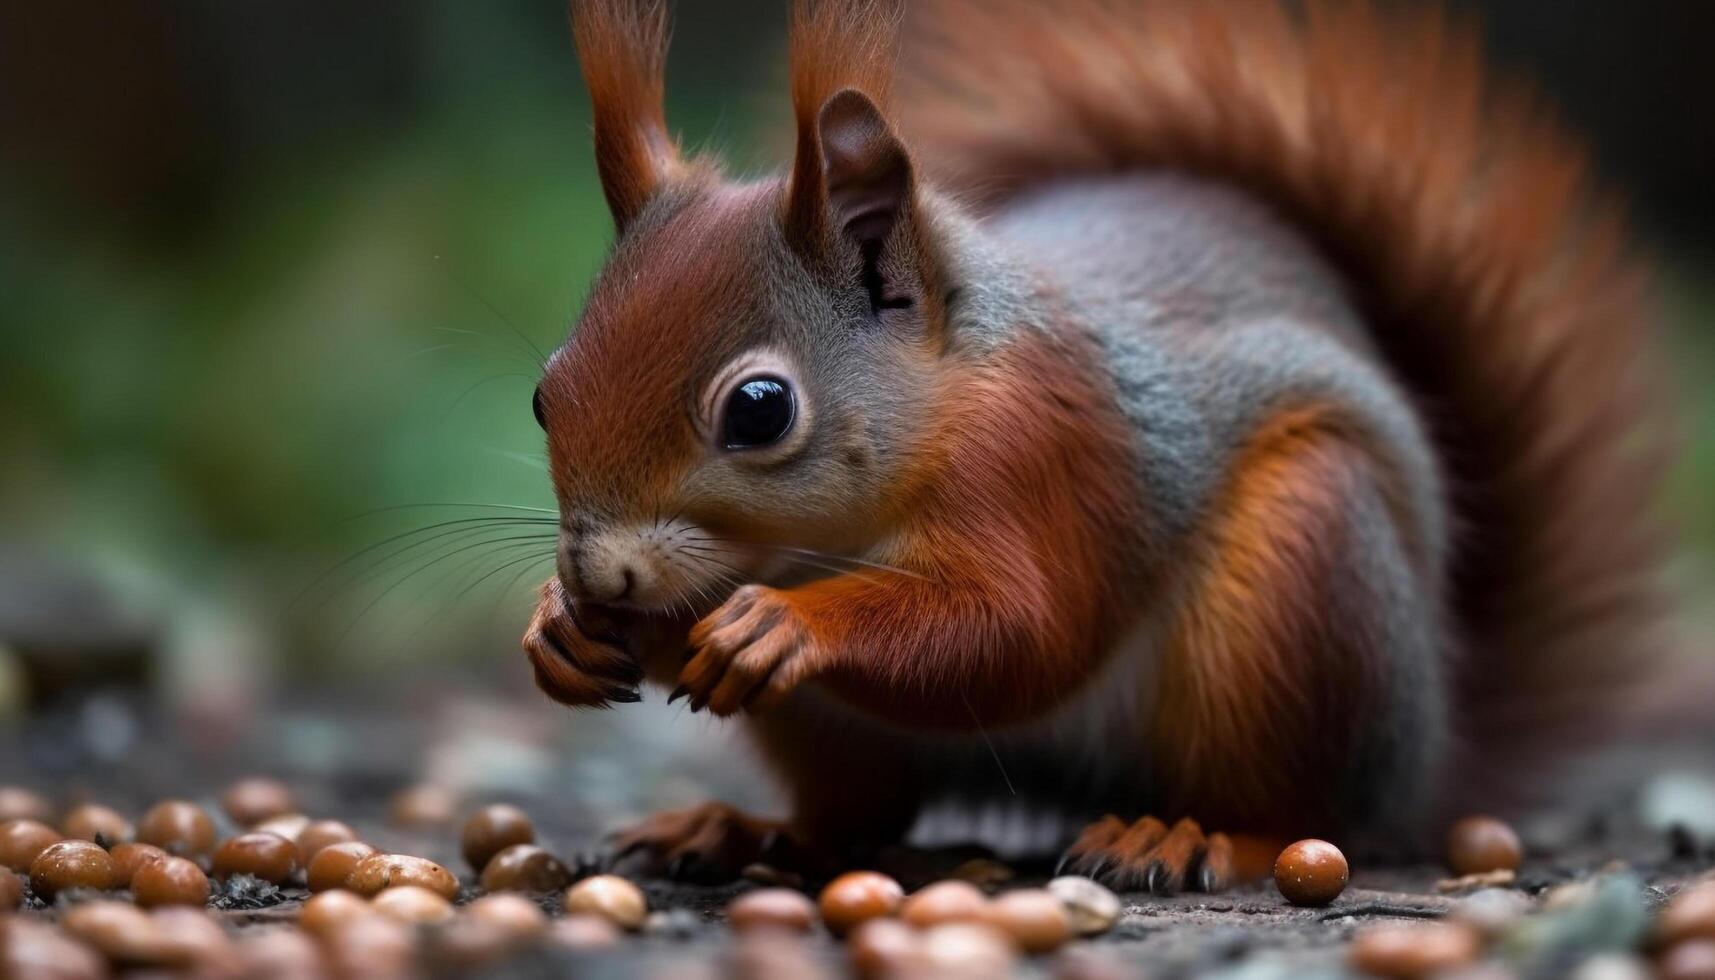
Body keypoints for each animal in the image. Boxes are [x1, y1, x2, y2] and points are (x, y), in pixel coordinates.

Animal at [517, 0, 1673, 892]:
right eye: (543, 392)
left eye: (758, 409)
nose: (601, 571)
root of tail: (1431, 750)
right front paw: (561, 627)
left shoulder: (1052, 455)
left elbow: (1021, 632)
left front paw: (779, 624)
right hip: (836, 734)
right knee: (851, 817)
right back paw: (739, 828)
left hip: (1301, 583)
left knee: (1307, 811)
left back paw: (1191, 834)